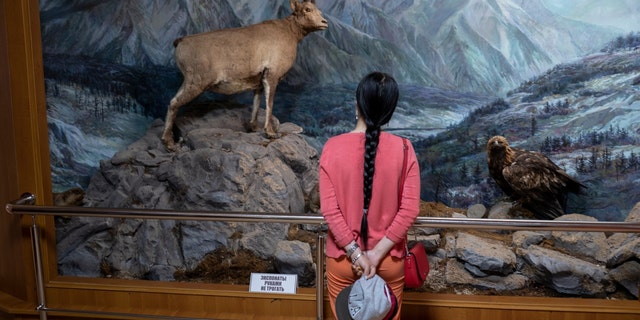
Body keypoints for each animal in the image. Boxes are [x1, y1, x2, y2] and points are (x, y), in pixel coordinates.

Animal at [160, 0, 330, 151]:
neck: (290, 32)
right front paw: (270, 133)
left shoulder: (259, 84)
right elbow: (269, 103)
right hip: (196, 84)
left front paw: (254, 128)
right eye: (307, 9)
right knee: (174, 103)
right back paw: (169, 144)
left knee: (172, 102)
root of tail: (180, 42)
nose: (324, 22)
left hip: (188, 83)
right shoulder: (272, 78)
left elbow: (256, 103)